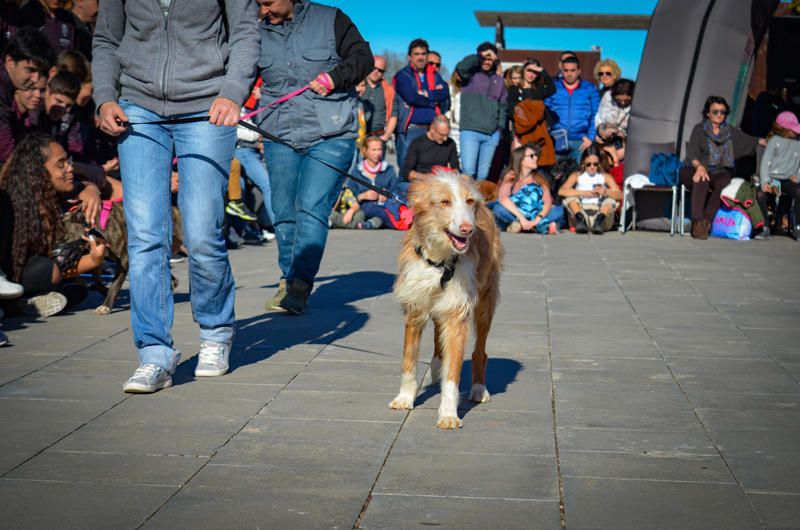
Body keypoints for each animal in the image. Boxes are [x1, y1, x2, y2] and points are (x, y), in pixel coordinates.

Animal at [390, 171, 504, 426]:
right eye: (444, 202)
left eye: (469, 201)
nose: (468, 229)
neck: (440, 261)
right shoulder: (415, 306)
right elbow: (408, 359)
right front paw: (405, 398)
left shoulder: (457, 313)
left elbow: (453, 372)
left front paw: (449, 414)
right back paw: (436, 367)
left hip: (485, 302)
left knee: (479, 351)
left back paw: (479, 389)